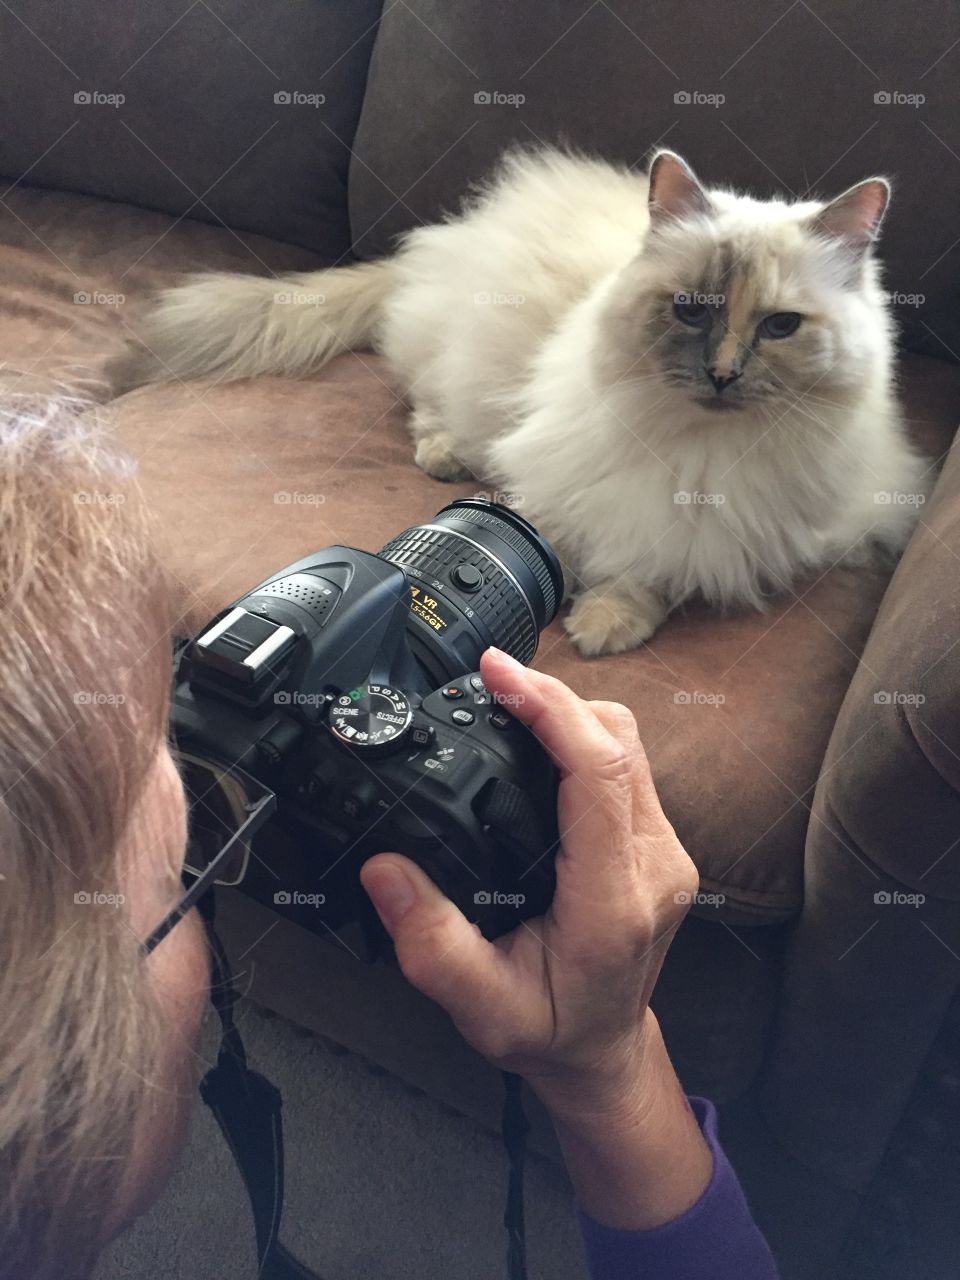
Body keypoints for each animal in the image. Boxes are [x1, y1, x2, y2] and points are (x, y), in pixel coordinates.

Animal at [122, 145, 931, 655]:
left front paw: (604, 622)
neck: (704, 451)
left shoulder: (741, 528)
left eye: (780, 327)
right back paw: (444, 454)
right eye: (689, 311)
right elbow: (548, 540)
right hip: (464, 362)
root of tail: (456, 233)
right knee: (425, 398)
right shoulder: (564, 473)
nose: (723, 374)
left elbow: (661, 567)